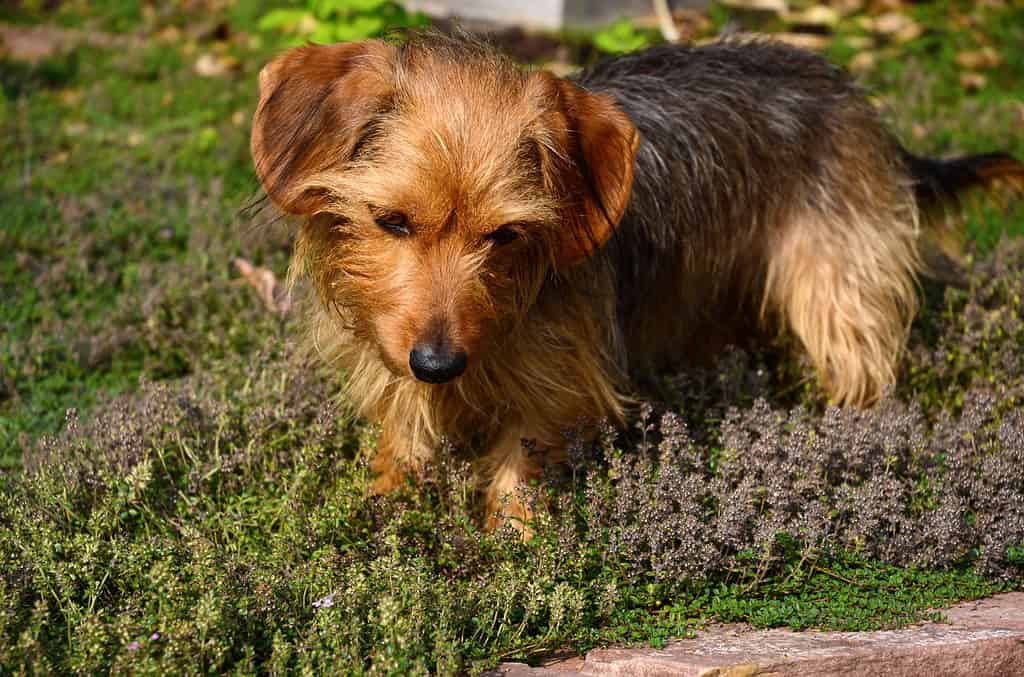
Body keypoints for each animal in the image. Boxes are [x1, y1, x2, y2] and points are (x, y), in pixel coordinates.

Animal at [249, 31, 1024, 532]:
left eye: (506, 234)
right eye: (392, 221)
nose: (439, 364)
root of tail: (844, 87)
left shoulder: (556, 381)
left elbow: (522, 465)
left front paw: (515, 553)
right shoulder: (399, 353)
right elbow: (405, 434)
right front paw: (383, 513)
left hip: (836, 286)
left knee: (860, 365)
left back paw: (847, 445)